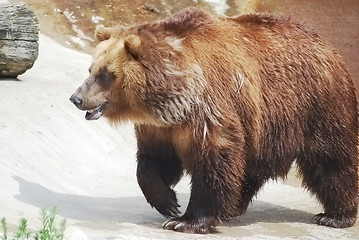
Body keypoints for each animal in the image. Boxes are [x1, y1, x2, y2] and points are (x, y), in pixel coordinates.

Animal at [69, 7, 358, 234]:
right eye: (91, 69)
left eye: (106, 74)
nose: (76, 98)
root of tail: (326, 44)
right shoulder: (160, 128)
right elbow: (154, 163)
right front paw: (168, 202)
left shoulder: (208, 111)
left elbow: (215, 161)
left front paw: (186, 221)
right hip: (263, 126)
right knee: (251, 167)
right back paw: (235, 207)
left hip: (316, 105)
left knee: (331, 160)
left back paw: (335, 215)